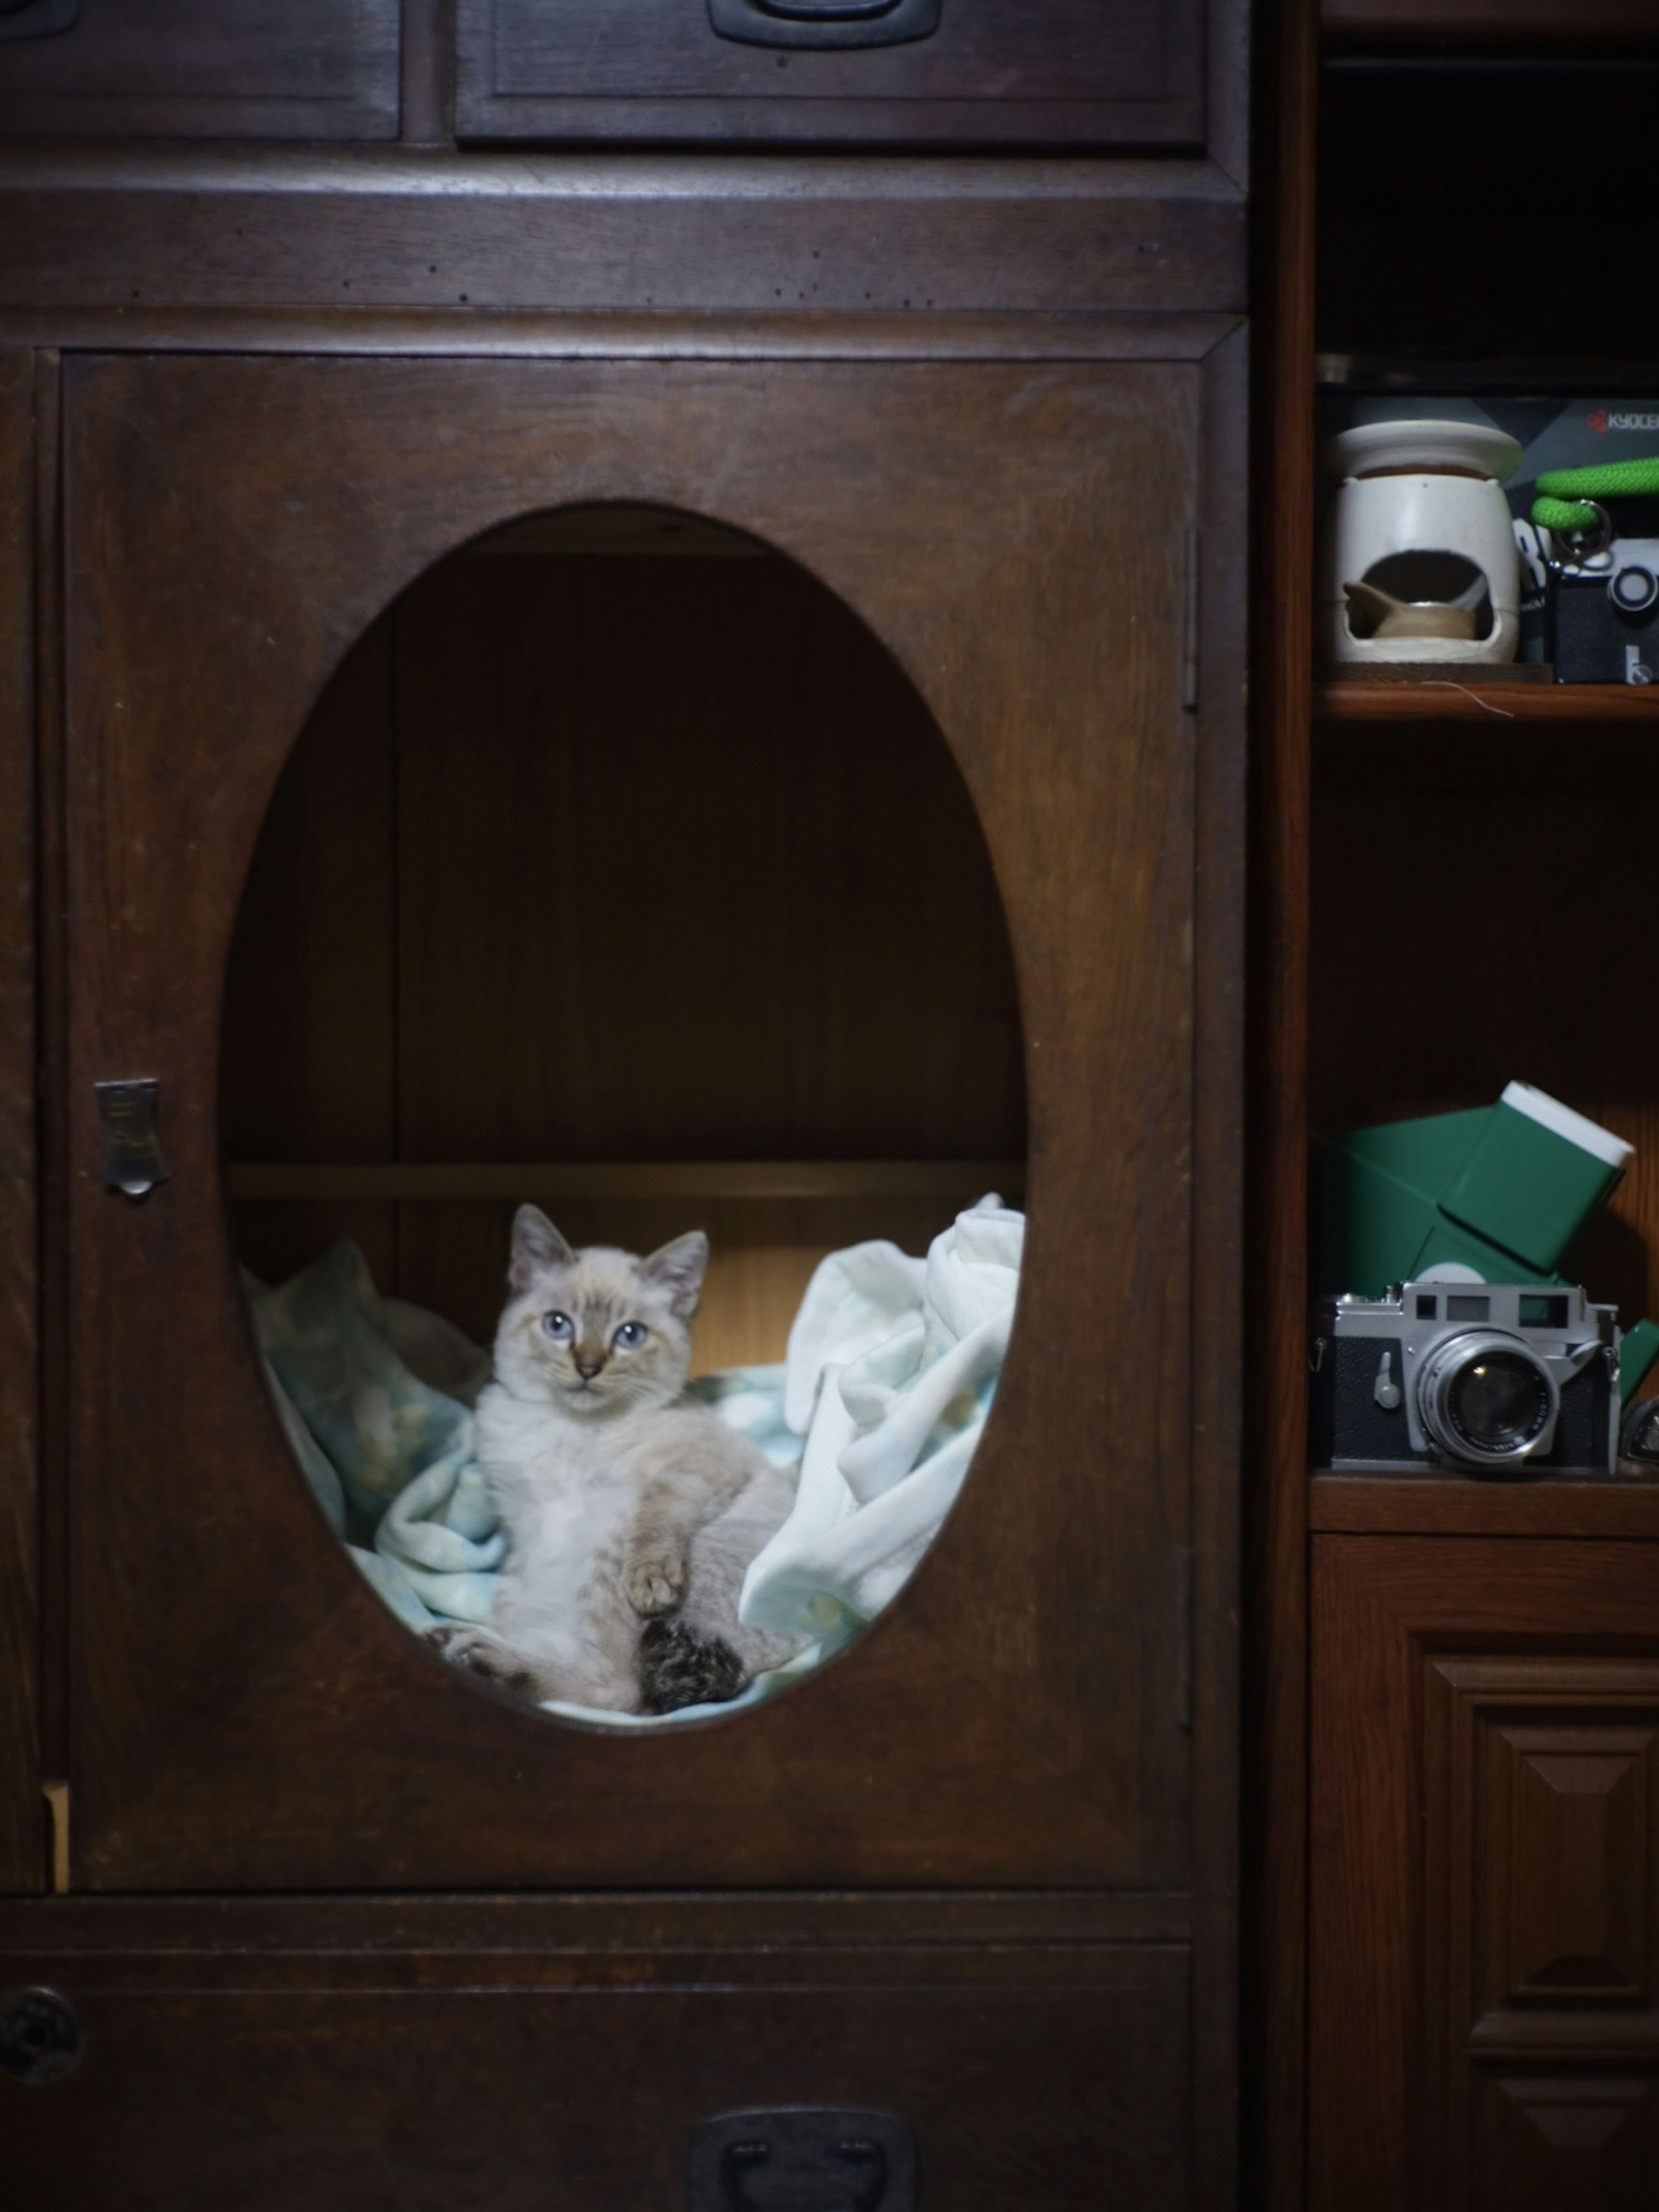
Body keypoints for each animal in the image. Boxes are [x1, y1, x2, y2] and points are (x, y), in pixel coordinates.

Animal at [429, 1212, 805, 1707]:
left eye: (630, 1335)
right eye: (558, 1325)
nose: (588, 1368)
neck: (570, 1424)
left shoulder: (697, 1469)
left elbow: (656, 1516)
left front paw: (650, 1578)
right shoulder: (523, 1532)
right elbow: (514, 1603)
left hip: (610, 1538)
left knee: (618, 1693)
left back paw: (484, 1660)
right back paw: (454, 1642)